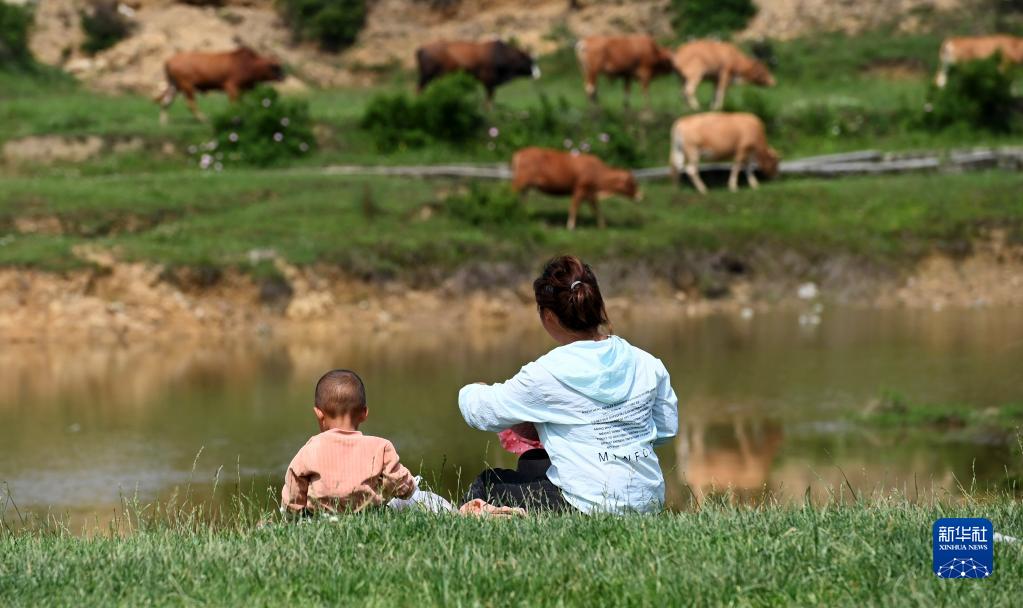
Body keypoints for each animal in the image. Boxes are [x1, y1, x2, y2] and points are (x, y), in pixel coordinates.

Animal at [415, 39, 544, 103]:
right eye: (529, 61)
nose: (537, 74)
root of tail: (421, 49)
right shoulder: (488, 80)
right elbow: (489, 99)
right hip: (426, 75)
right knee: (419, 89)